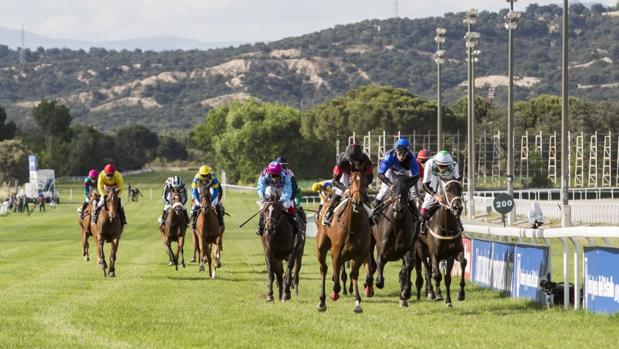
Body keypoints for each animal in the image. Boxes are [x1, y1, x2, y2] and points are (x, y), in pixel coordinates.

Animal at [320, 172, 372, 312]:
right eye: (351, 182)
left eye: (365, 182)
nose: (357, 202)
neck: (352, 226)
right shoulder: (337, 253)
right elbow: (337, 281)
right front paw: (334, 293)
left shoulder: (360, 254)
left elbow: (354, 274)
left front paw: (358, 302)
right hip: (321, 248)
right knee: (324, 268)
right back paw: (322, 301)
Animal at [370, 175, 418, 306]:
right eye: (392, 189)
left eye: (406, 189)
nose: (398, 209)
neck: (396, 224)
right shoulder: (381, 249)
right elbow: (380, 263)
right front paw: (378, 281)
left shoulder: (408, 248)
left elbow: (408, 266)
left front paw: (406, 292)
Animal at [414, 178, 468, 306]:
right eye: (447, 190)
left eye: (460, 188)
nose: (457, 208)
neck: (446, 228)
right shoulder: (435, 254)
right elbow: (437, 275)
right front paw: (437, 293)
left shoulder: (452, 253)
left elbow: (457, 268)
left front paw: (457, 295)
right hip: (420, 248)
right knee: (428, 271)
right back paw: (431, 292)